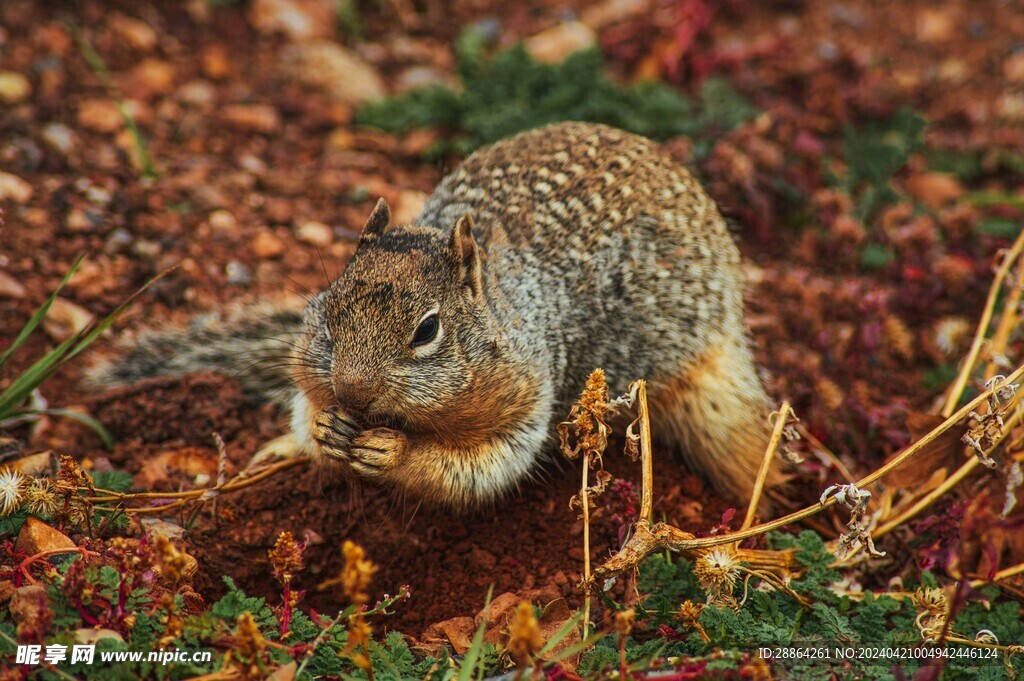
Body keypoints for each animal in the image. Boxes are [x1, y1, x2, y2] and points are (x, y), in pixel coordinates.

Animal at [90, 122, 774, 507]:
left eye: (427, 331)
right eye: (330, 309)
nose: (354, 392)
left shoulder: (528, 396)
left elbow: (479, 467)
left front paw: (391, 454)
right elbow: (308, 408)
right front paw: (324, 430)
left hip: (707, 388)